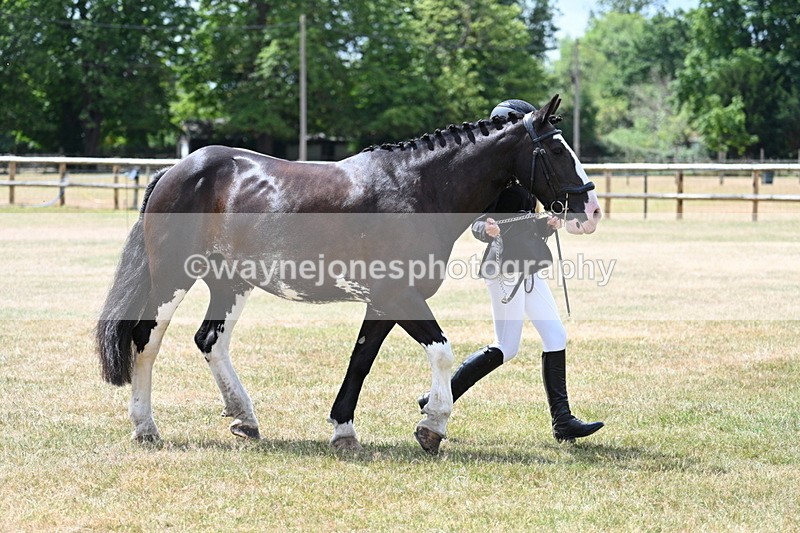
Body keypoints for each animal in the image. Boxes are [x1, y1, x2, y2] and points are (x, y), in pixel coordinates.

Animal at [95, 94, 602, 454]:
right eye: (555, 149)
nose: (591, 208)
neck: (417, 189)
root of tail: (177, 169)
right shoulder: (399, 296)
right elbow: (441, 352)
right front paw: (432, 424)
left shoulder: (382, 302)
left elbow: (361, 361)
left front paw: (344, 429)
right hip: (172, 279)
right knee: (146, 340)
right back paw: (146, 426)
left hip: (230, 282)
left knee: (210, 341)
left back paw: (245, 418)